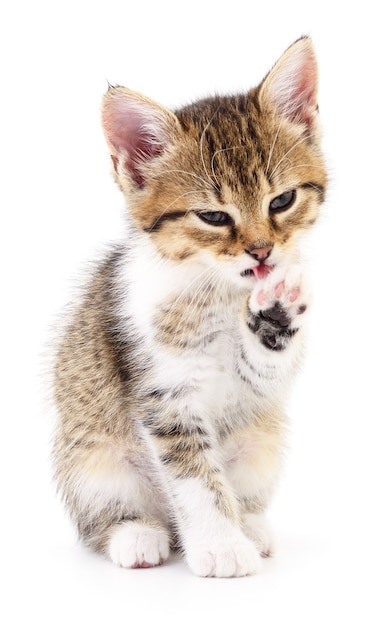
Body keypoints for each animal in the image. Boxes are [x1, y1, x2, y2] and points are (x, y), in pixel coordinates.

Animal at [53, 37, 326, 576]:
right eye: (214, 217)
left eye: (281, 200)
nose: (263, 252)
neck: (218, 293)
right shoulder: (162, 392)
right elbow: (194, 475)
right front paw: (221, 546)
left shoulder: (256, 385)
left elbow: (262, 368)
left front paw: (276, 313)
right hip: (93, 457)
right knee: (108, 513)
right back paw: (136, 534)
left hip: (262, 441)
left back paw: (251, 524)